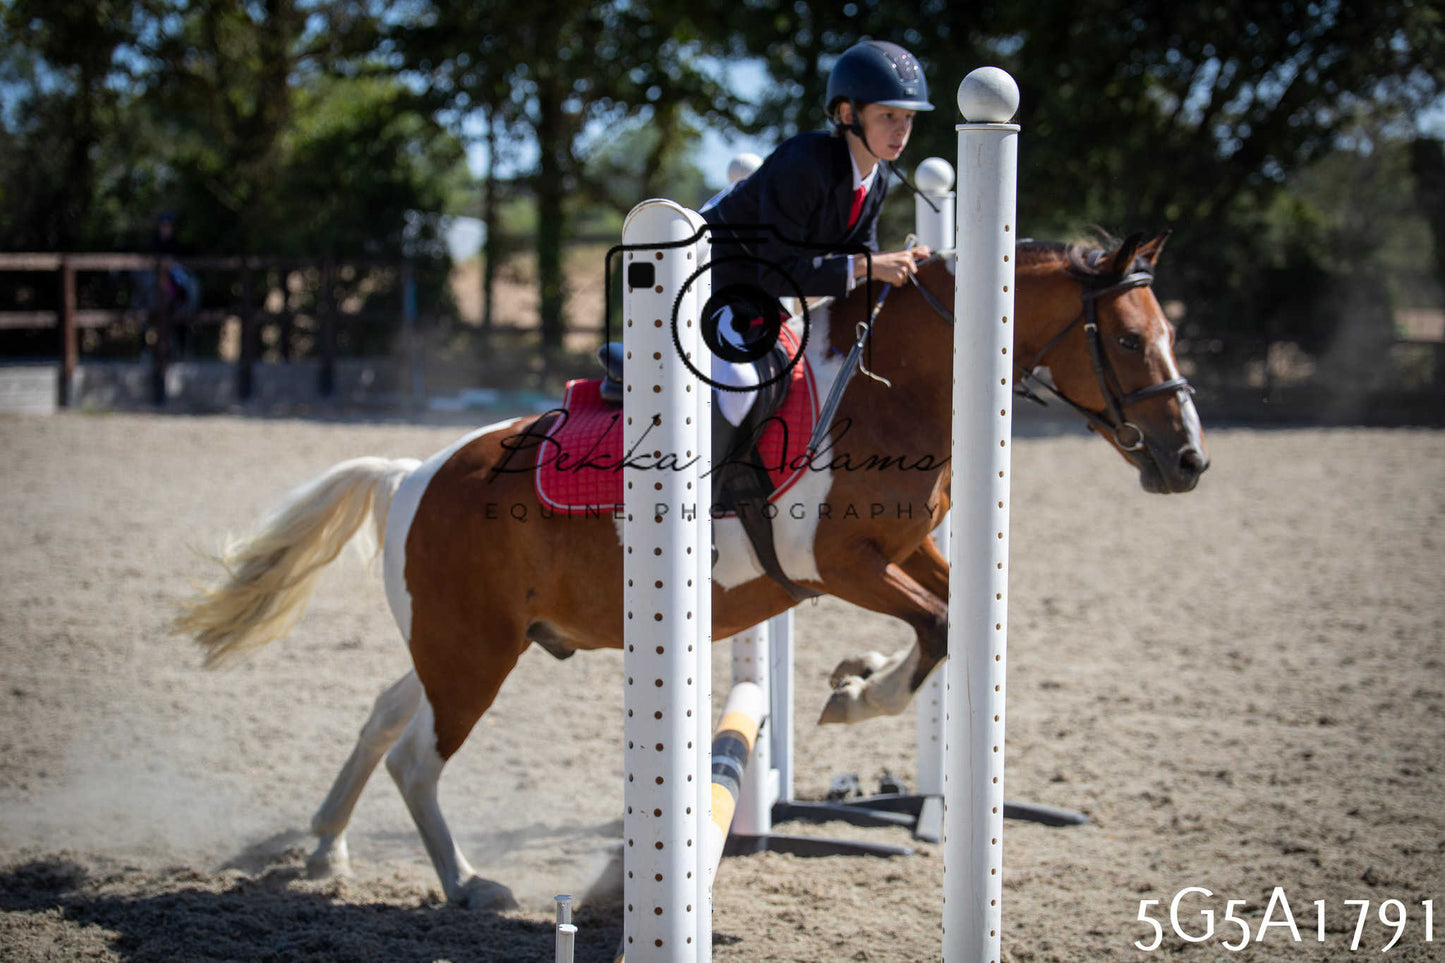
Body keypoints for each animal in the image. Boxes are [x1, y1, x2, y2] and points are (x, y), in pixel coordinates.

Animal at [174, 231, 1208, 908]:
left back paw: (325, 852)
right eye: (1124, 339)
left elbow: (957, 618)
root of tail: (410, 475)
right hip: (474, 656)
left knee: (385, 711)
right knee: (418, 756)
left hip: (468, 640)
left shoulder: (908, 550)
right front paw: (854, 696)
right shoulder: (839, 563)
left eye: (1166, 332)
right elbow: (938, 625)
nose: (1189, 459)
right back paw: (467, 883)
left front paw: (859, 679)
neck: (897, 385)